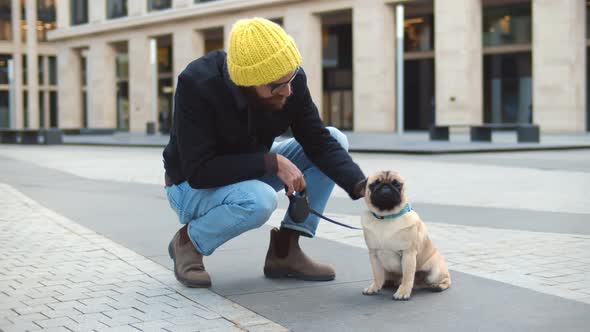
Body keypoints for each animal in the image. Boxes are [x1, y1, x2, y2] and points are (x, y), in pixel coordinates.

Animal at [360, 171, 454, 300]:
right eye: (374, 184)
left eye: (397, 184)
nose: (385, 187)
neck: (386, 216)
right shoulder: (374, 255)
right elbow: (377, 275)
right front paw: (374, 287)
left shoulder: (408, 254)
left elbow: (407, 276)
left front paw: (403, 292)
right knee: (387, 278)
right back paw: (387, 283)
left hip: (435, 272)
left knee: (445, 280)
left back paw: (437, 286)